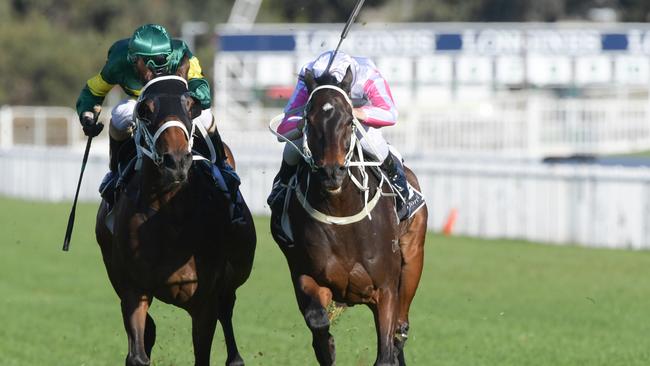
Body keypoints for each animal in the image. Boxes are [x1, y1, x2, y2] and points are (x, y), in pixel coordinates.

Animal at [95, 75, 256, 366]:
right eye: (145, 109)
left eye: (191, 106)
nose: (177, 162)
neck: (168, 219)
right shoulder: (134, 289)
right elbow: (138, 352)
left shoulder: (205, 300)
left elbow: (203, 353)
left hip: (233, 275)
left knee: (227, 310)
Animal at [270, 67, 428, 364]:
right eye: (309, 120)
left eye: (348, 121)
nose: (332, 172)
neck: (341, 213)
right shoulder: (306, 274)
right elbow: (318, 324)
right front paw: (328, 343)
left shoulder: (386, 290)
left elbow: (386, 351)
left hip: (412, 259)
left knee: (400, 329)